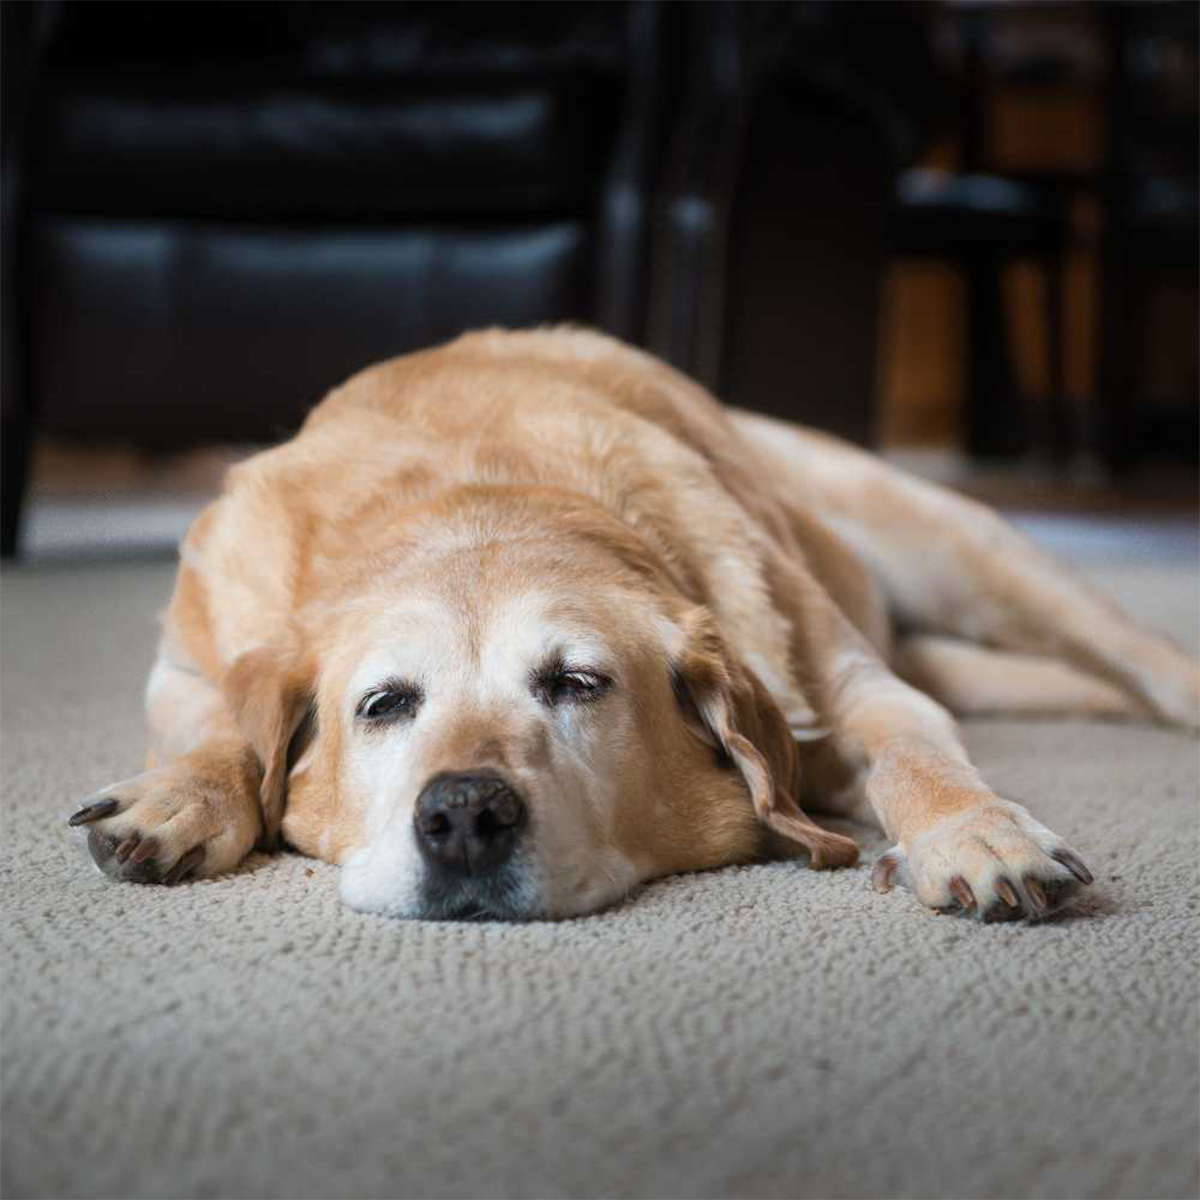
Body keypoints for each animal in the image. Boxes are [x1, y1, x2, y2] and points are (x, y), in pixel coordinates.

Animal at [70, 328, 1195, 916]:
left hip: (963, 548)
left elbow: (916, 757)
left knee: (1138, 652)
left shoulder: (859, 685)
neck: (481, 496)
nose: (464, 816)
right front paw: (181, 799)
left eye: (577, 684)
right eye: (383, 705)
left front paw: (974, 832)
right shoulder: (183, 664)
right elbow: (224, 726)